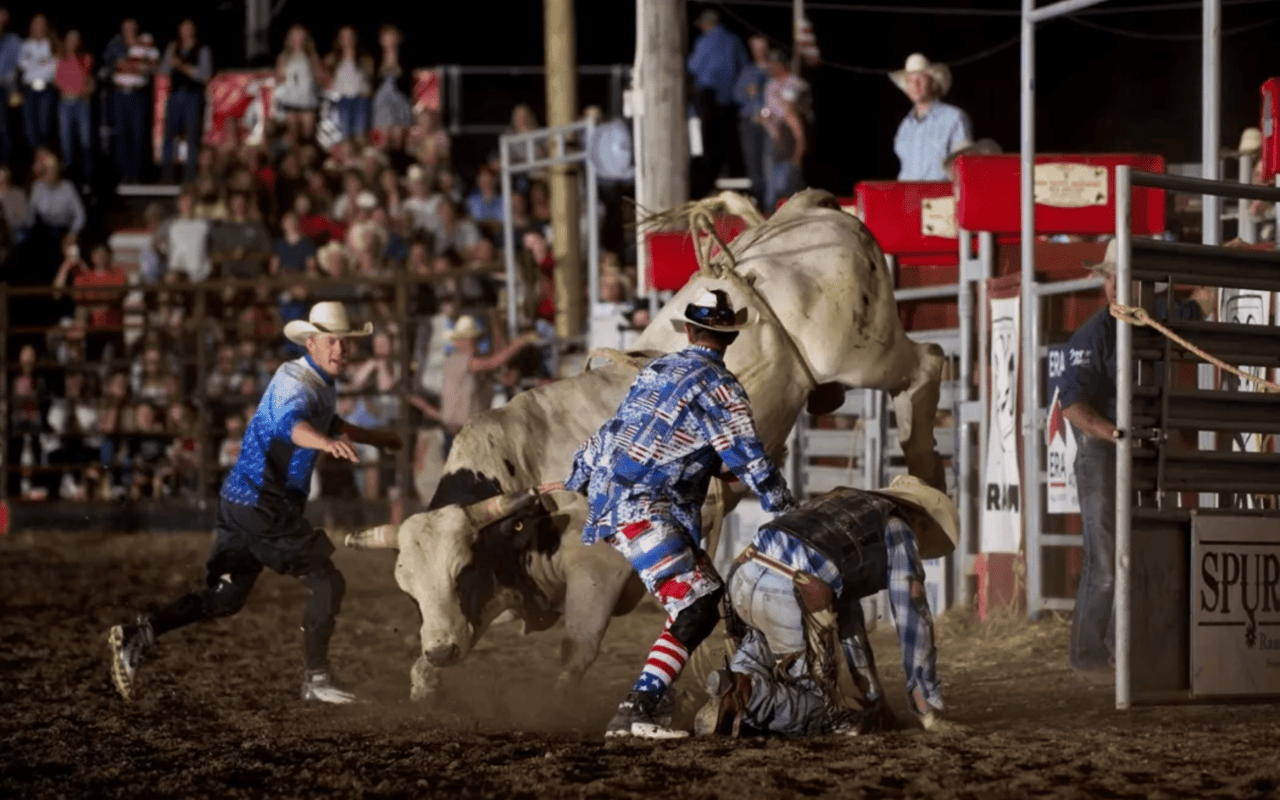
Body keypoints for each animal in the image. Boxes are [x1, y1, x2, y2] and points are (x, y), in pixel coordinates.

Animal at [345, 192, 947, 696]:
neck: (530, 477)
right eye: (409, 591)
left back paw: (928, 476)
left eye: (461, 571)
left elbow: (576, 650)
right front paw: (425, 680)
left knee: (928, 364)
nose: (441, 649)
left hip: (865, 352)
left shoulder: (598, 572)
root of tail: (810, 211)